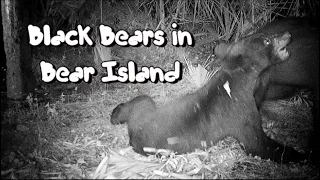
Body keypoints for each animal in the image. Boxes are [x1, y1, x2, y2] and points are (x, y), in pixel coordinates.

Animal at [114, 31, 308, 162]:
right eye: (267, 40)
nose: (288, 33)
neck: (237, 80)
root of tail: (132, 133)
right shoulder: (245, 119)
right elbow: (263, 145)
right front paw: (301, 155)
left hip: (146, 107)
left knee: (140, 100)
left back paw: (115, 114)